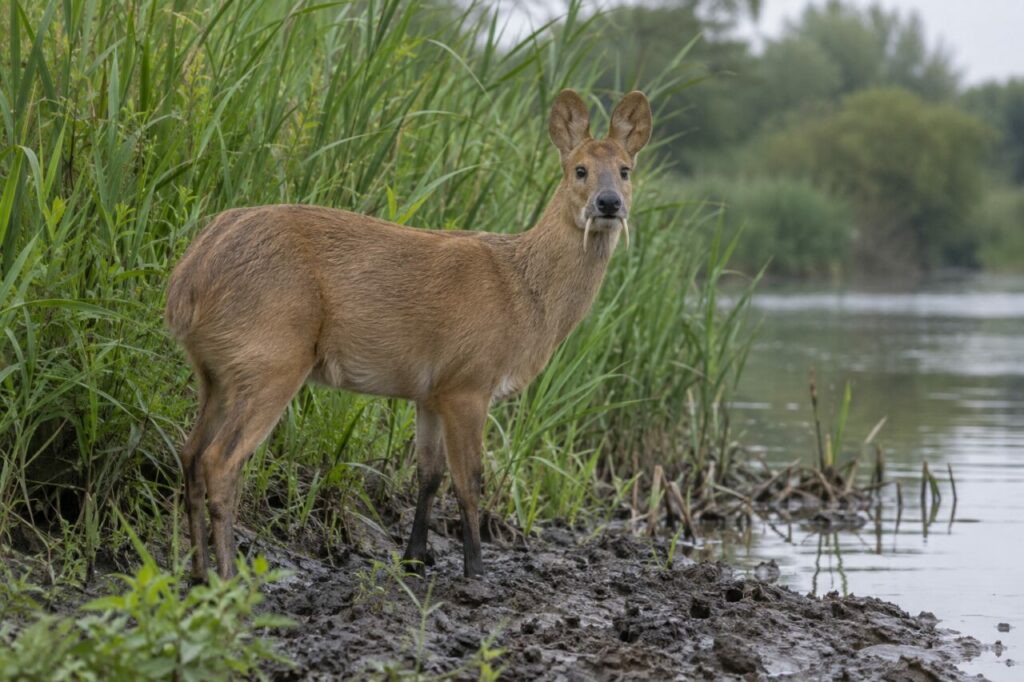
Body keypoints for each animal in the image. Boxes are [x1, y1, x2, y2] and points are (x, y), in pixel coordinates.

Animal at [165, 89, 652, 581]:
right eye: (580, 169)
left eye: (625, 169)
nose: (609, 203)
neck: (525, 292)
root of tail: (186, 283)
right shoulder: (468, 383)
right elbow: (469, 481)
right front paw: (476, 570)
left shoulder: (429, 392)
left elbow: (429, 475)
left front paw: (415, 558)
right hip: (272, 358)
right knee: (219, 461)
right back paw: (228, 577)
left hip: (217, 372)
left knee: (190, 454)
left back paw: (199, 572)